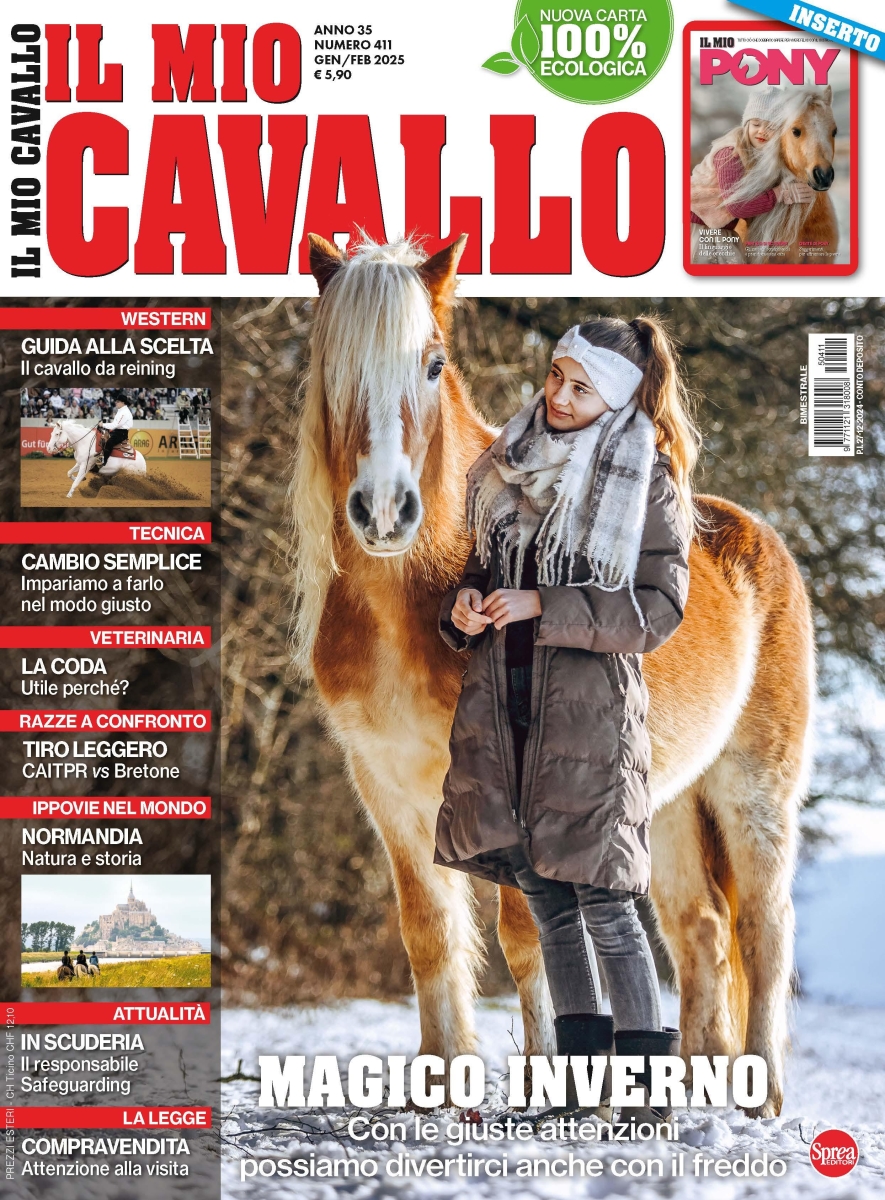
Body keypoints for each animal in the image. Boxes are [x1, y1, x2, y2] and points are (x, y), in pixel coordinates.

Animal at [288, 234, 814, 1118]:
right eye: (330, 362)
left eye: (432, 364)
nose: (385, 511)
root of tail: (755, 536)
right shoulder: (386, 786)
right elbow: (429, 935)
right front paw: (439, 1088)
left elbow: (523, 935)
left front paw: (544, 1083)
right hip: (666, 806)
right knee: (700, 930)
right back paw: (696, 1083)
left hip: (754, 793)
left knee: (763, 932)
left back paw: (761, 1094)